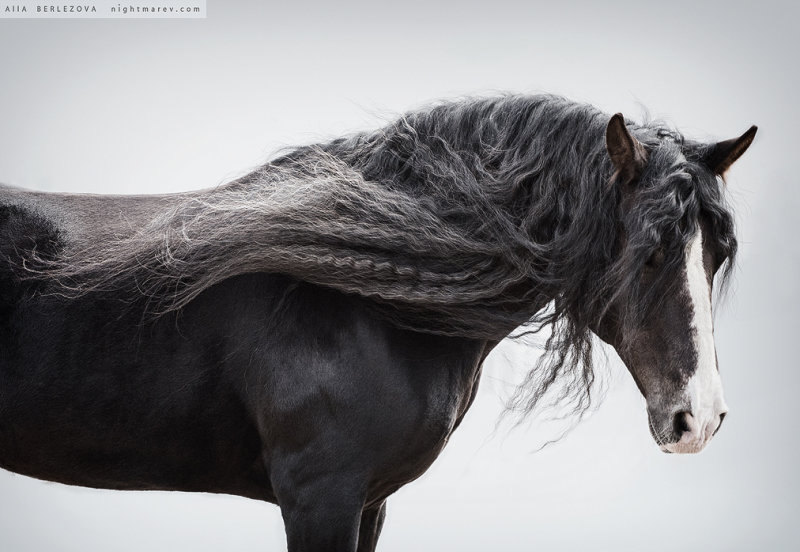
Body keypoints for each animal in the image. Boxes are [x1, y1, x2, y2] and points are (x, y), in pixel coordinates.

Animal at [0, 95, 752, 548]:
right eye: (648, 255)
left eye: (716, 253)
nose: (699, 418)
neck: (363, 291)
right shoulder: (321, 500)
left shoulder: (368, 502)